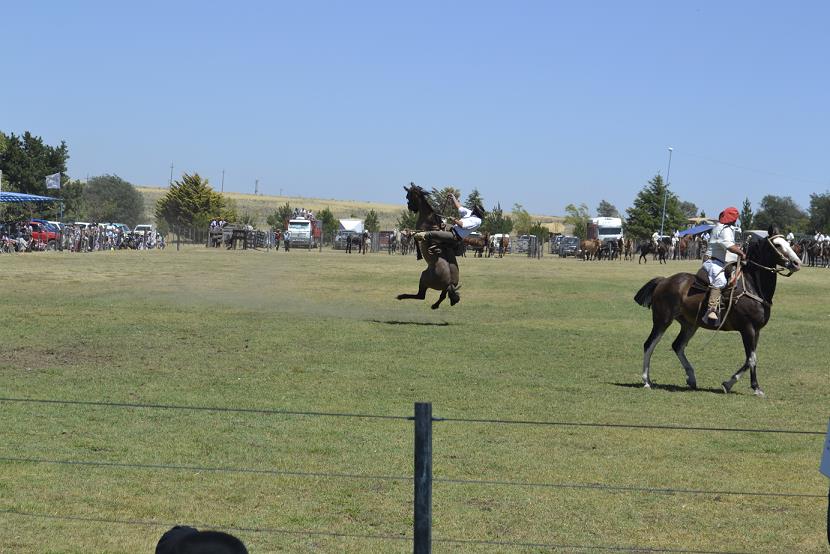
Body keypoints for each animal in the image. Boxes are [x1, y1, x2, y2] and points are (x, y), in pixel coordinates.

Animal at [632, 226, 804, 394]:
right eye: (778, 245)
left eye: (788, 242)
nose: (797, 263)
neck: (753, 285)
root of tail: (663, 281)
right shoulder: (747, 328)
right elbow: (751, 358)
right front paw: (755, 387)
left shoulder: (756, 330)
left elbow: (750, 358)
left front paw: (729, 384)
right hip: (662, 320)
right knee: (649, 345)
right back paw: (646, 381)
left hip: (690, 324)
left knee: (677, 346)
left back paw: (691, 378)